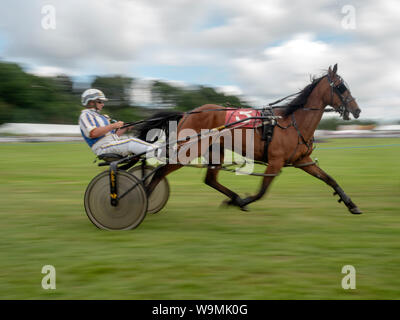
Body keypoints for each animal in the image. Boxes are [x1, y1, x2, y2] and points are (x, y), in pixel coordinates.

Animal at [134, 64, 362, 215]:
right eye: (341, 87)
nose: (357, 110)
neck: (291, 122)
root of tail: (187, 113)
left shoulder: (301, 161)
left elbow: (330, 179)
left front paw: (351, 204)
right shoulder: (275, 162)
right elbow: (262, 191)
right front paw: (244, 201)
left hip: (215, 150)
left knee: (210, 179)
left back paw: (233, 197)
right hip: (189, 151)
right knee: (160, 172)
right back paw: (143, 199)